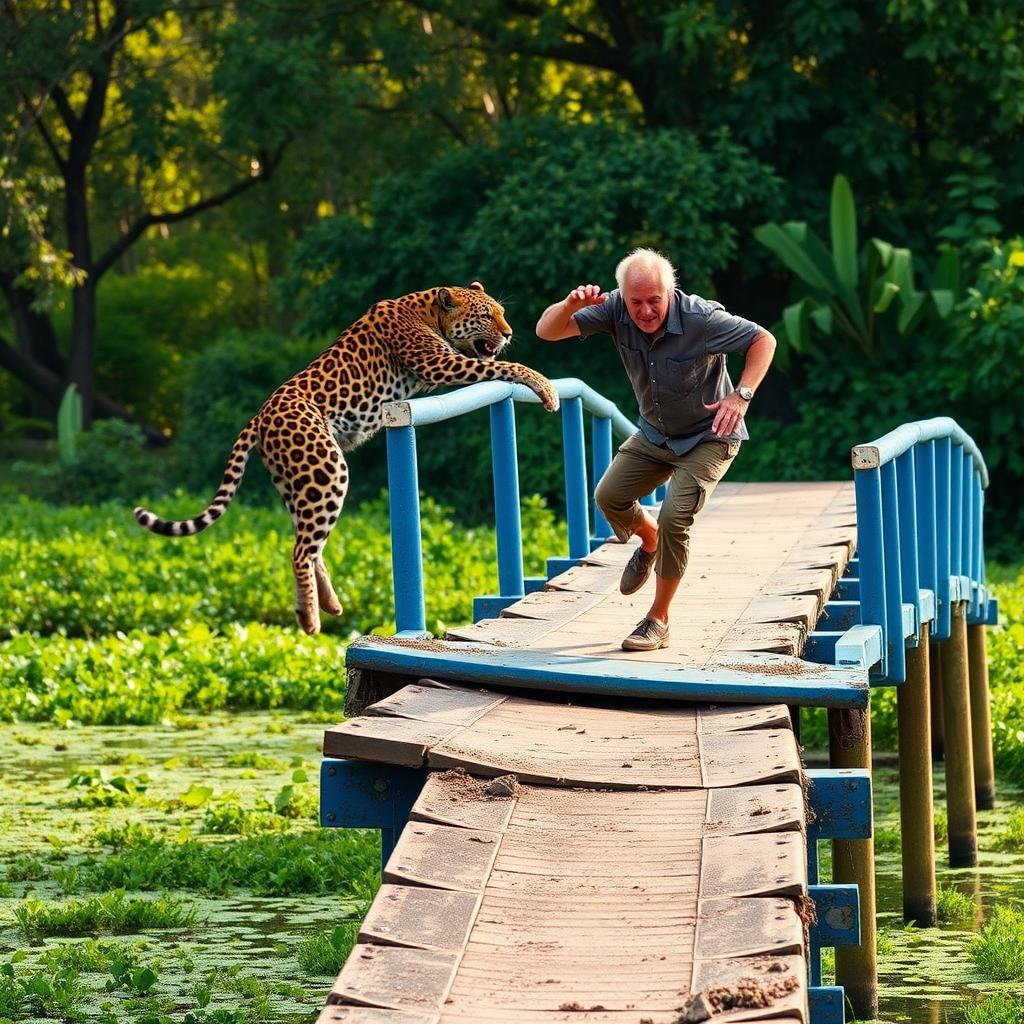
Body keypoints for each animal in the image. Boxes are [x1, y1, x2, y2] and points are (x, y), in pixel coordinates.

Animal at [134, 282, 559, 635]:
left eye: (500, 312)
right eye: (486, 316)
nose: (508, 332)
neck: (427, 310)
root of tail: (259, 416)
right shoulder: (442, 364)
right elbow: (503, 365)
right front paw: (545, 387)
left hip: (295, 483)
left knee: (309, 543)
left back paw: (331, 604)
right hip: (327, 470)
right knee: (300, 550)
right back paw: (309, 618)